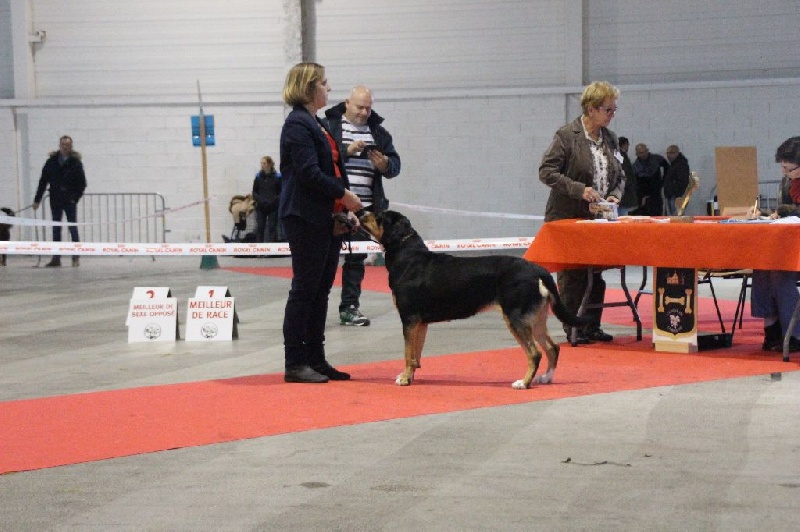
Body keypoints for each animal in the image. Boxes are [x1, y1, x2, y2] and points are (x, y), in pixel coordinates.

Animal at [359, 209, 591, 389]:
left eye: (380, 216)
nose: (360, 212)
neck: (407, 256)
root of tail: (538, 270)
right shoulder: (420, 323)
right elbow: (416, 353)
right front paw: (410, 376)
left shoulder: (409, 318)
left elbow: (408, 353)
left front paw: (405, 379)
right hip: (536, 318)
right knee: (552, 348)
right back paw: (546, 378)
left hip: (516, 317)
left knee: (534, 353)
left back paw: (523, 383)